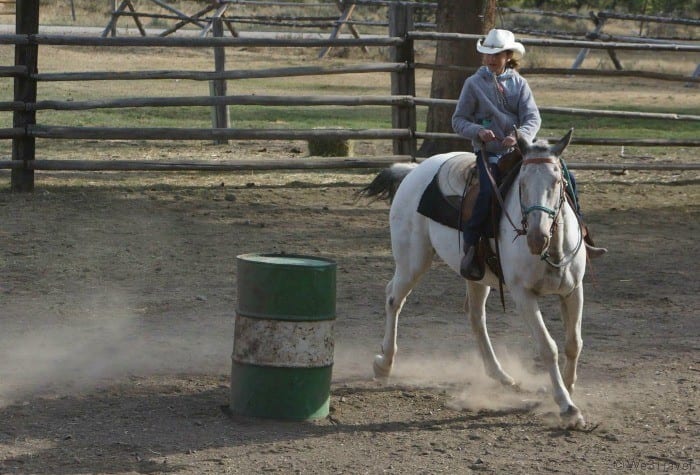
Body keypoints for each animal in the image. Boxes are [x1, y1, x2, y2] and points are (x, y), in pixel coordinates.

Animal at [364, 130, 588, 432]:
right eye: (522, 184)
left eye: (557, 182)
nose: (536, 238)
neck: (551, 251)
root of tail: (413, 171)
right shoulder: (523, 295)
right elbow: (547, 347)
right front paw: (566, 406)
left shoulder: (574, 291)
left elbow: (573, 343)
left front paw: (567, 388)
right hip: (413, 261)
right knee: (393, 298)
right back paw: (384, 364)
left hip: (476, 276)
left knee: (475, 316)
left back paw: (501, 375)